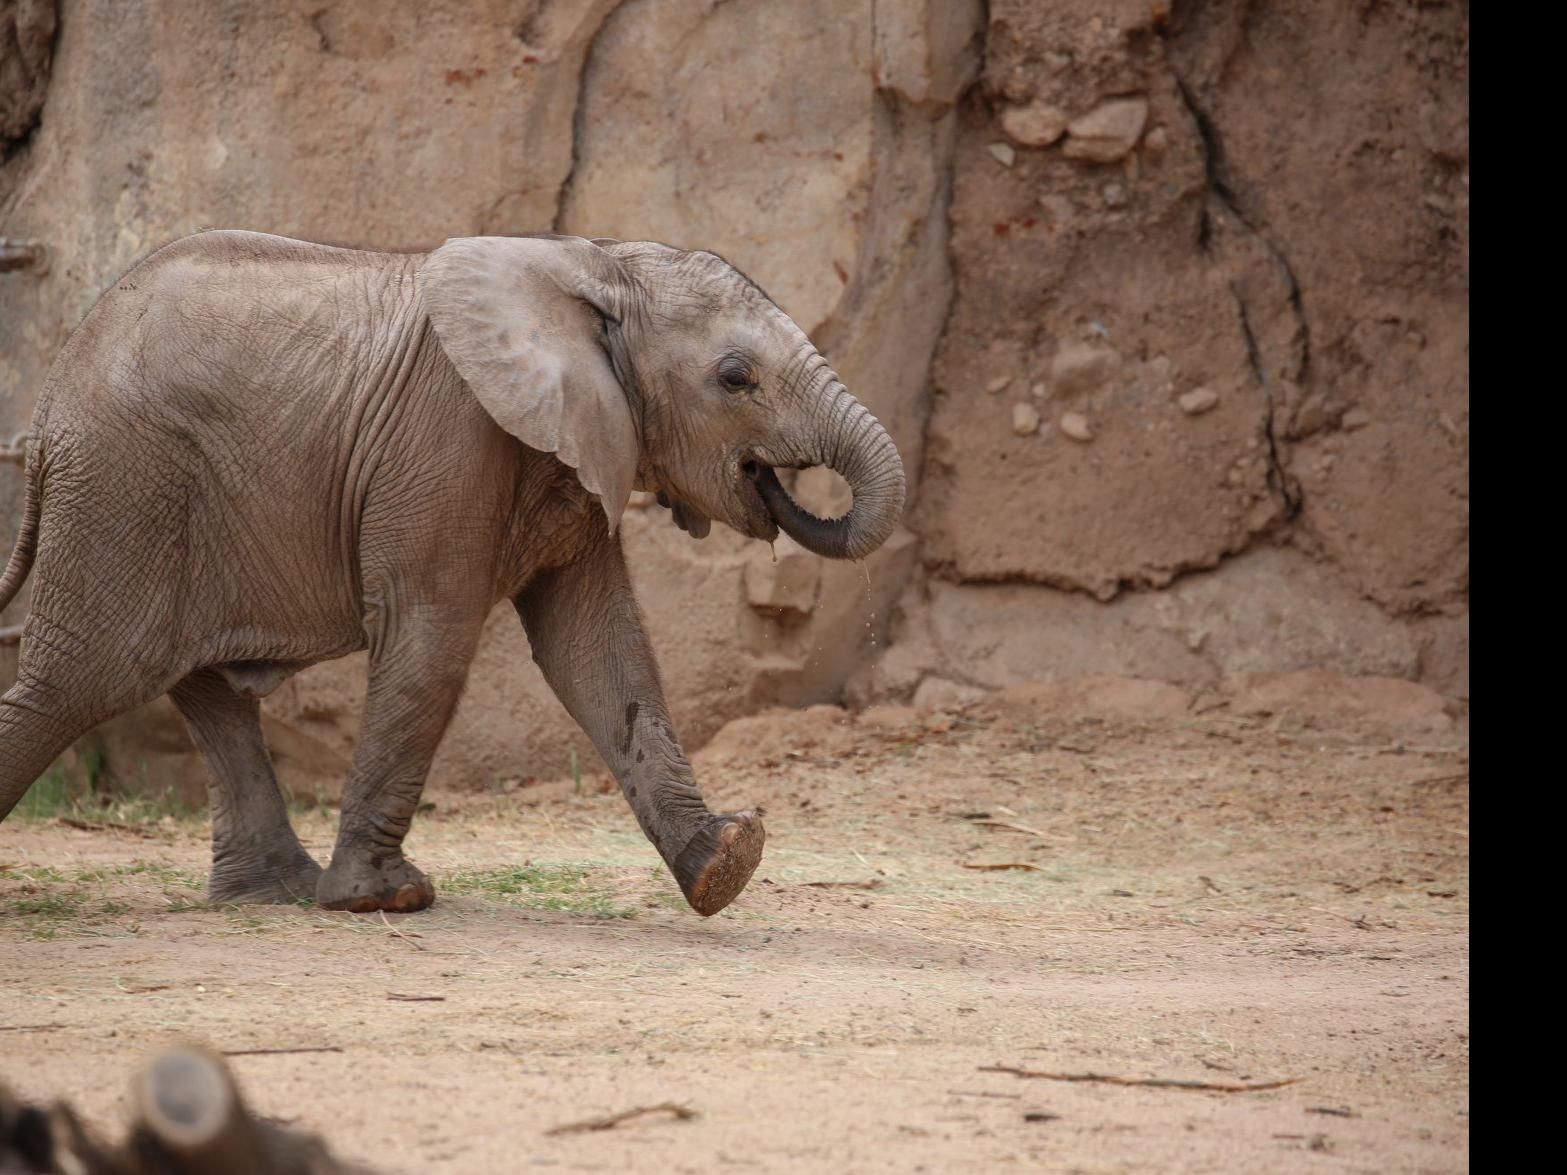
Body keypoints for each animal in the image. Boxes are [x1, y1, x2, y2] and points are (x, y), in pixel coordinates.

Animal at [0, 227, 908, 908]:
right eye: (734, 377)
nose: (778, 484)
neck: (593, 266)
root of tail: (46, 408)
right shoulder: (447, 435)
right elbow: (431, 636)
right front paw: (383, 897)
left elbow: (599, 649)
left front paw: (726, 862)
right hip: (123, 482)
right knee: (76, 680)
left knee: (202, 685)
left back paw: (275, 891)